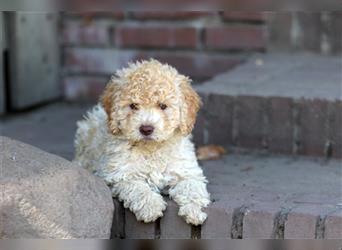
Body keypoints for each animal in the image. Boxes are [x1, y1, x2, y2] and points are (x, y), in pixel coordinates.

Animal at [75, 58, 211, 225]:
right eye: (133, 105)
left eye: (163, 105)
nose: (146, 129)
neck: (152, 149)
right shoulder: (120, 174)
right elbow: (138, 188)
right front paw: (151, 207)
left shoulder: (186, 171)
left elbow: (192, 187)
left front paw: (194, 210)